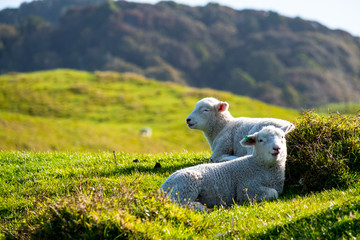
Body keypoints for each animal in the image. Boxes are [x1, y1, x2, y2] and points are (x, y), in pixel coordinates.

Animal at [160, 124, 292, 209]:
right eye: (260, 140)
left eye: (282, 137)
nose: (277, 148)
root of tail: (163, 187)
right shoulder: (247, 188)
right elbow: (274, 193)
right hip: (186, 187)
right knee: (178, 203)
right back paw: (201, 207)